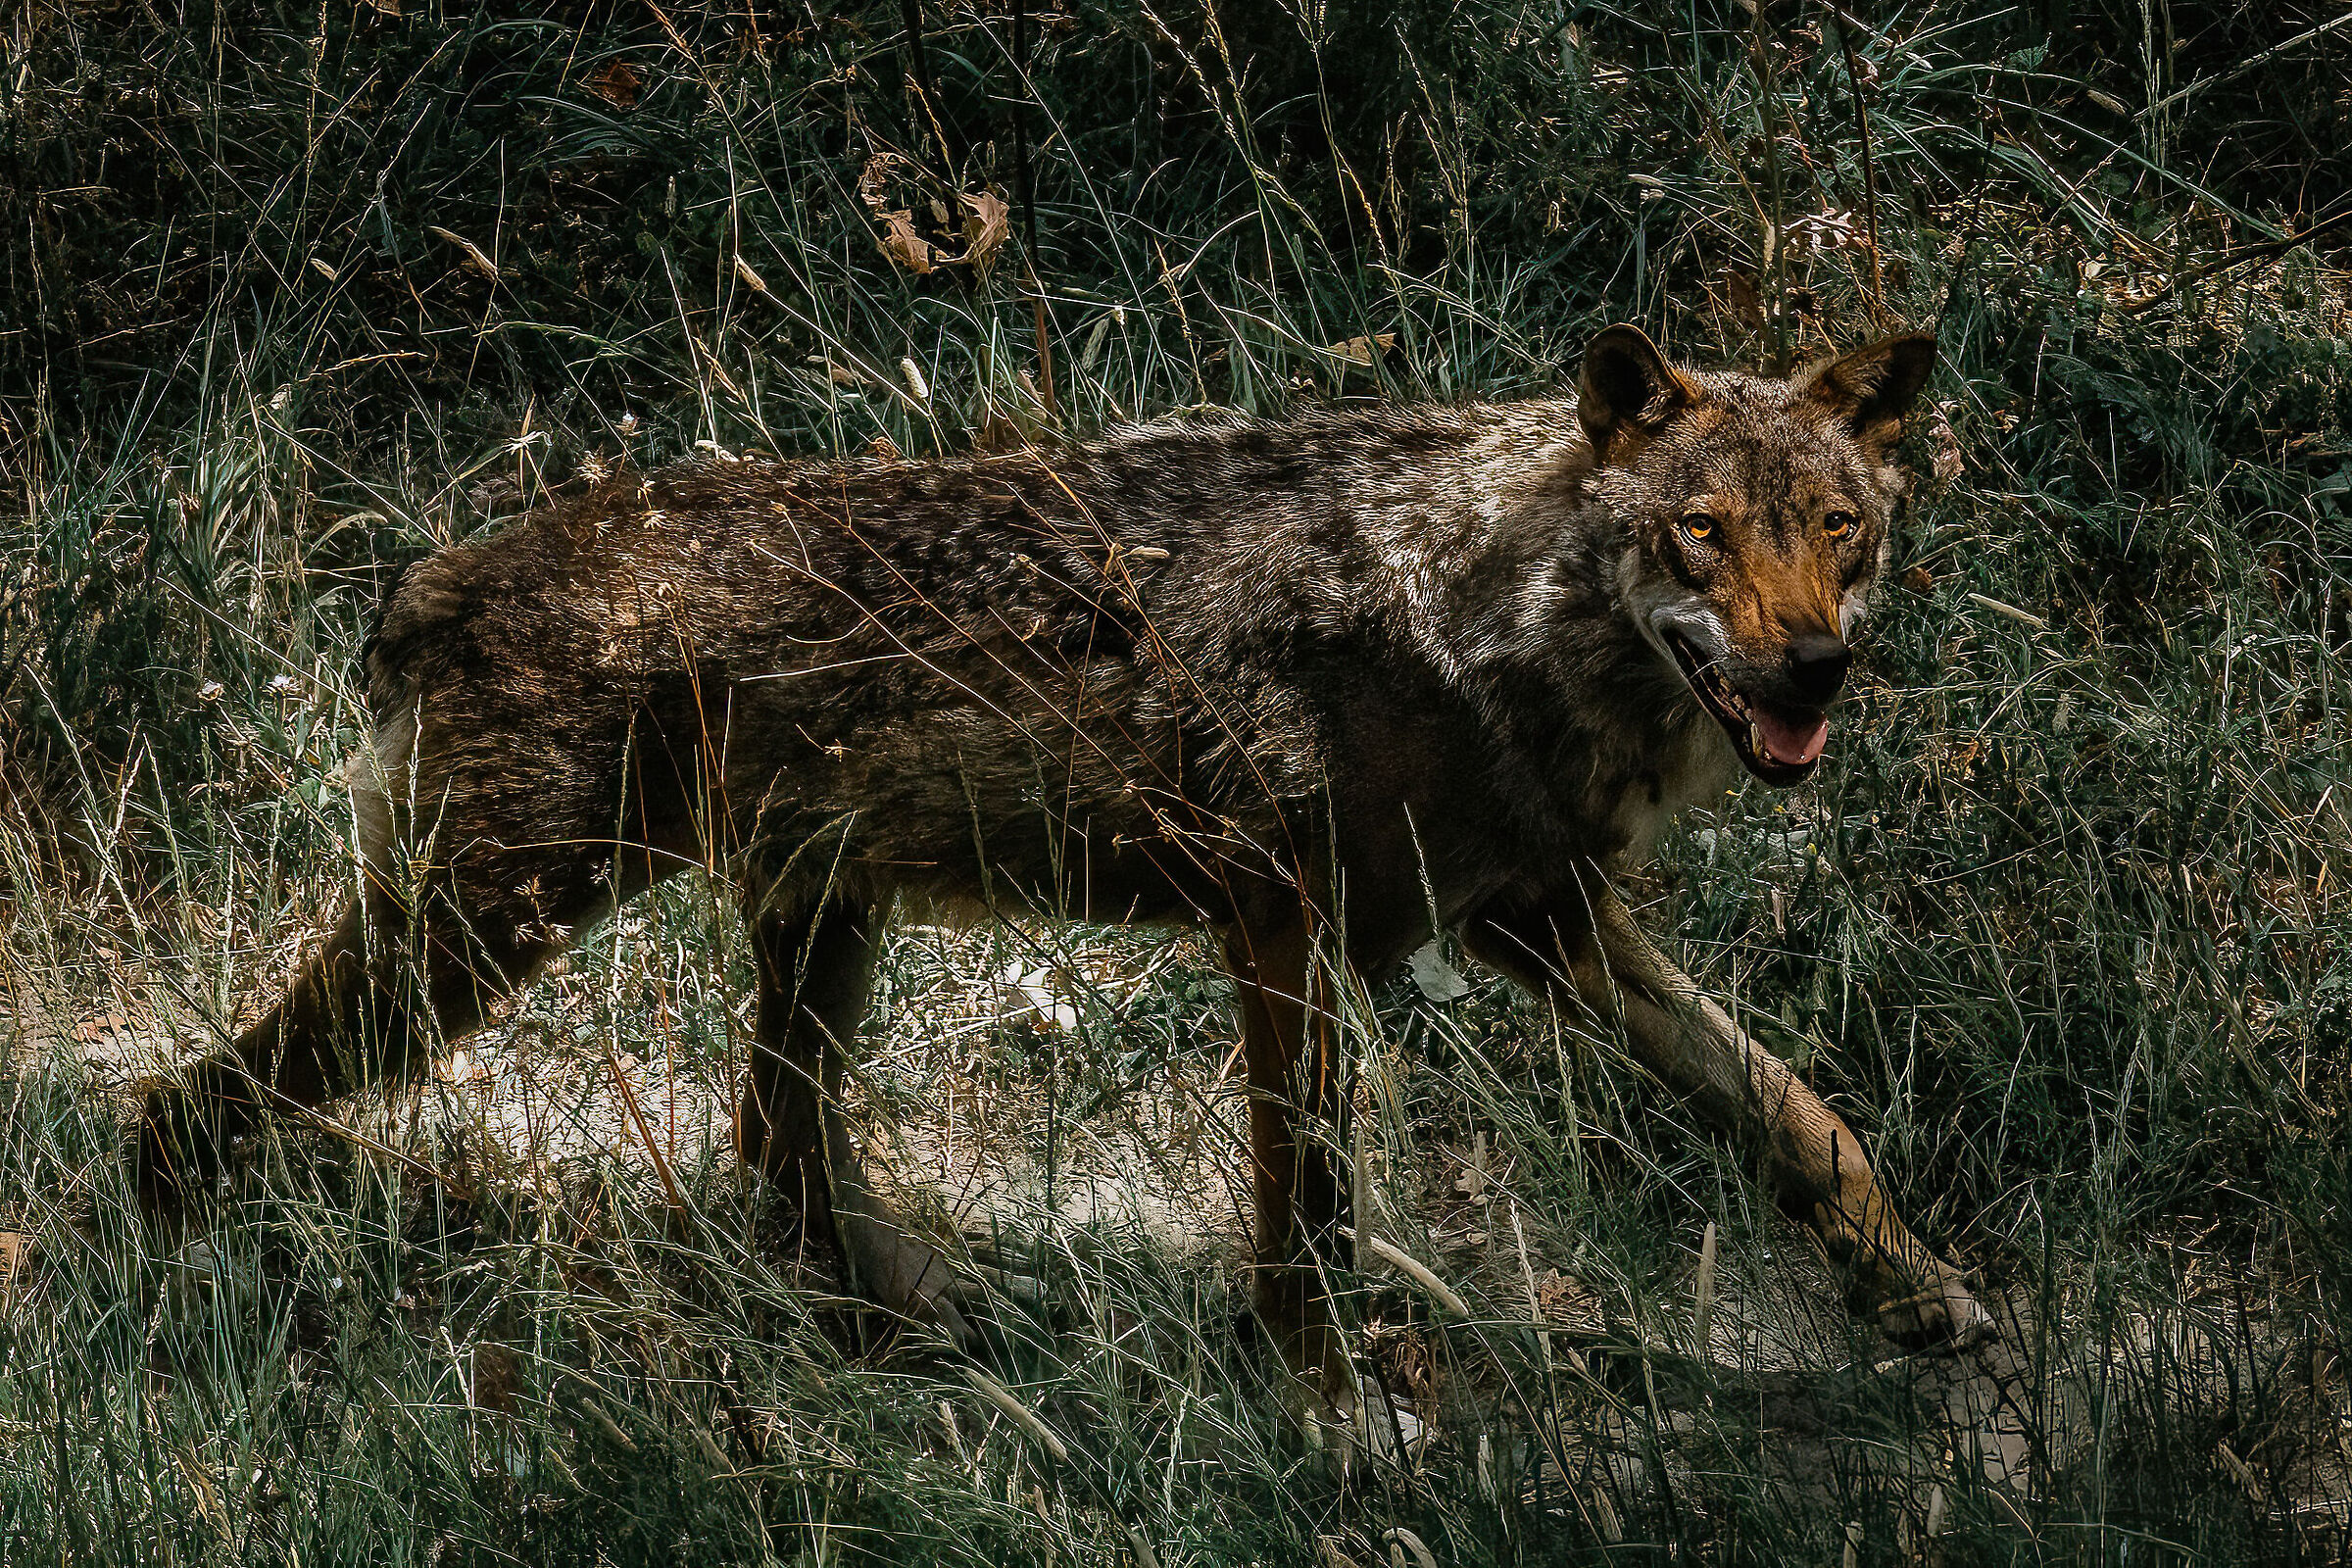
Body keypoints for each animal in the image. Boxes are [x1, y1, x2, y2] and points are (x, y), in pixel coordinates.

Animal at [137, 324, 1990, 1414]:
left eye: (1839, 531)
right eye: (1702, 535)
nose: (1816, 667)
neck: (1482, 610)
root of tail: (433, 575)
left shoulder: (1537, 922)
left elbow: (1793, 1108)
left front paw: (1920, 1294)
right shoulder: (1286, 924)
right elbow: (1308, 1208)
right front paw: (1333, 1415)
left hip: (813, 928)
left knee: (772, 1157)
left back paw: (908, 1336)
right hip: (489, 935)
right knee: (195, 1098)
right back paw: (173, 1278)